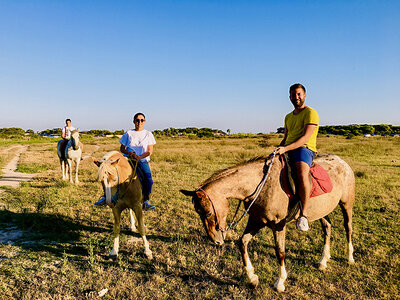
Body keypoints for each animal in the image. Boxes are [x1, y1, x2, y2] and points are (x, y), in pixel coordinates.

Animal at [180, 154, 354, 292]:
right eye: (198, 213)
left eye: (208, 213)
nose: (215, 240)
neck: (261, 185)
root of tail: (342, 162)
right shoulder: (256, 221)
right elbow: (242, 242)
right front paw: (252, 278)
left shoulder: (278, 225)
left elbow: (280, 252)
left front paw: (280, 283)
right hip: (322, 211)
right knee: (327, 227)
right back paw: (323, 260)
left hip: (346, 204)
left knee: (348, 228)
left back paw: (350, 257)